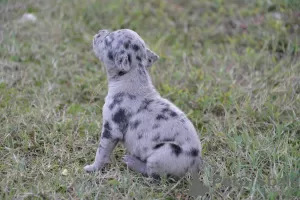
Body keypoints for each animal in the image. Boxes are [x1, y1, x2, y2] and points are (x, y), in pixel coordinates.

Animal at [83, 28, 203, 178]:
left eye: (107, 39)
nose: (101, 31)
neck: (132, 75)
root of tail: (196, 166)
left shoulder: (111, 130)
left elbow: (101, 152)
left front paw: (92, 168)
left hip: (162, 155)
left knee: (151, 172)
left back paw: (132, 162)